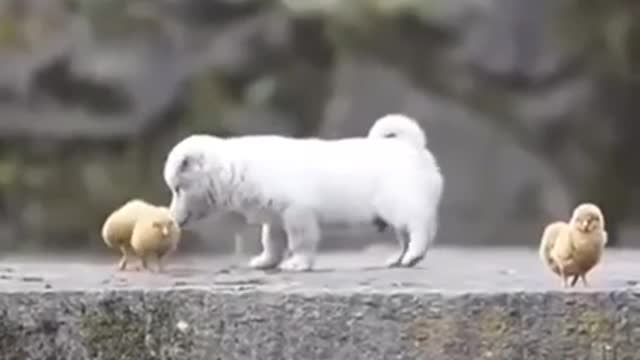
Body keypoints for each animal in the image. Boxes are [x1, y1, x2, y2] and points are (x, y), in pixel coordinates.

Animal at [165, 114, 442, 272]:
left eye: (177, 189)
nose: (173, 219)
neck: (235, 168)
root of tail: (412, 146)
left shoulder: (297, 212)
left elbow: (300, 240)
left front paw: (297, 263)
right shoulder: (274, 215)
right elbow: (271, 240)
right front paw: (266, 261)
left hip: (399, 202)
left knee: (419, 227)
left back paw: (413, 254)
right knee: (405, 235)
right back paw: (399, 258)